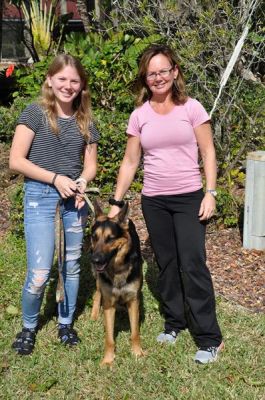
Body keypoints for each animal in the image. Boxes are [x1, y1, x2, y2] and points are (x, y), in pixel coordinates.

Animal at [90, 202, 144, 368]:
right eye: (94, 237)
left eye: (110, 239)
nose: (94, 260)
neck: (117, 269)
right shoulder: (108, 304)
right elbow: (109, 339)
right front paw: (108, 359)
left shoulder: (134, 301)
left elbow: (135, 332)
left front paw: (137, 352)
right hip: (99, 282)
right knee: (97, 293)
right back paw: (94, 313)